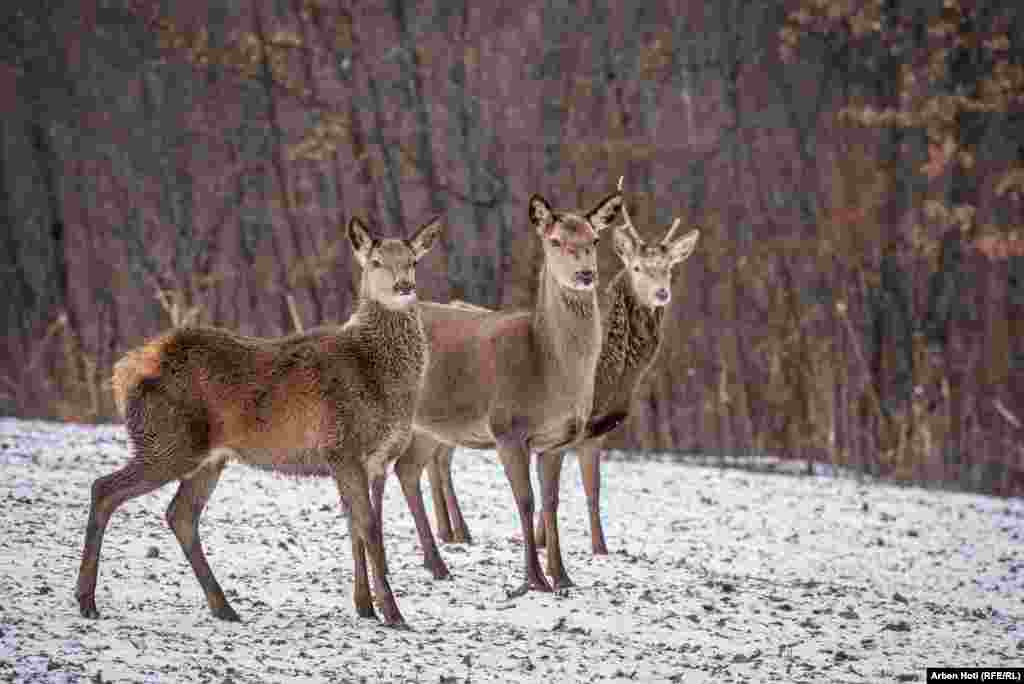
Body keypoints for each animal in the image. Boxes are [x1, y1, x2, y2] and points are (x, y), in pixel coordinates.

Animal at [72, 216, 440, 626]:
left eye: (413, 261)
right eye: (376, 261)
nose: (404, 286)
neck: (381, 379)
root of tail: (123, 373)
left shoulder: (371, 460)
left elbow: (357, 529)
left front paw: (365, 606)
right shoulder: (343, 447)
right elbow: (371, 530)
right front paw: (393, 613)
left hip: (207, 458)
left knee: (179, 514)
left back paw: (223, 606)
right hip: (167, 440)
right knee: (104, 488)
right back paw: (87, 599)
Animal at [403, 188, 700, 581]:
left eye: (593, 240)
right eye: (637, 267)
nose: (586, 274)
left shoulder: (576, 435)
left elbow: (569, 495)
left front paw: (571, 567)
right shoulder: (516, 430)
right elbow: (531, 498)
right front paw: (540, 570)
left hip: (430, 426)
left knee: (412, 468)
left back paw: (439, 555)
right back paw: (446, 540)